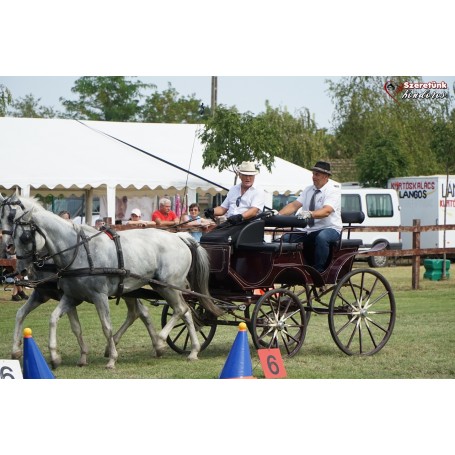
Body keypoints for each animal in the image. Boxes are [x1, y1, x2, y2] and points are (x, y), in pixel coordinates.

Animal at [0, 196, 223, 370]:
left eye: (25, 236)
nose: (21, 268)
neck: (77, 251)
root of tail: (180, 237)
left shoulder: (98, 296)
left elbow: (105, 326)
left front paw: (111, 360)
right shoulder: (69, 296)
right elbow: (55, 319)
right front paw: (55, 357)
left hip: (168, 285)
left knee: (181, 310)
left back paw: (165, 344)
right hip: (143, 288)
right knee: (163, 312)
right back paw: (184, 350)